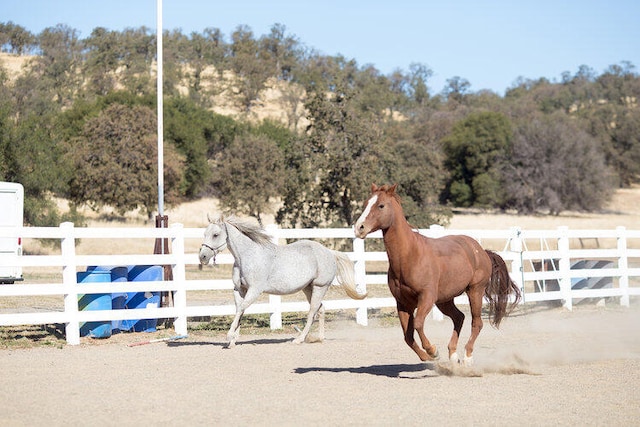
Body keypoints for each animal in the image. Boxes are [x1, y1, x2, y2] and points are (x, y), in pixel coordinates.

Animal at [199, 216, 364, 350]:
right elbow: (240, 310)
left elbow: (241, 309)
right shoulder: (239, 289)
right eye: (205, 234)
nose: (202, 257)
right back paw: (319, 338)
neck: (247, 256)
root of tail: (330, 252)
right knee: (321, 309)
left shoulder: (254, 290)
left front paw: (229, 336)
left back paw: (299, 339)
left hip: (320, 287)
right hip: (308, 288)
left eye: (215, 234)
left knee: (312, 312)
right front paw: (233, 341)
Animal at [356, 184, 520, 364]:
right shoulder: (402, 303)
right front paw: (426, 356)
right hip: (445, 300)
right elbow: (408, 336)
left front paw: (433, 351)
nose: (359, 228)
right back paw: (453, 355)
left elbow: (418, 324)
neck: (410, 255)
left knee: (476, 323)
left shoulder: (426, 297)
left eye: (381, 205)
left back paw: (467, 356)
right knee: (459, 317)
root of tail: (481, 251)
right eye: (365, 203)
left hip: (475, 291)